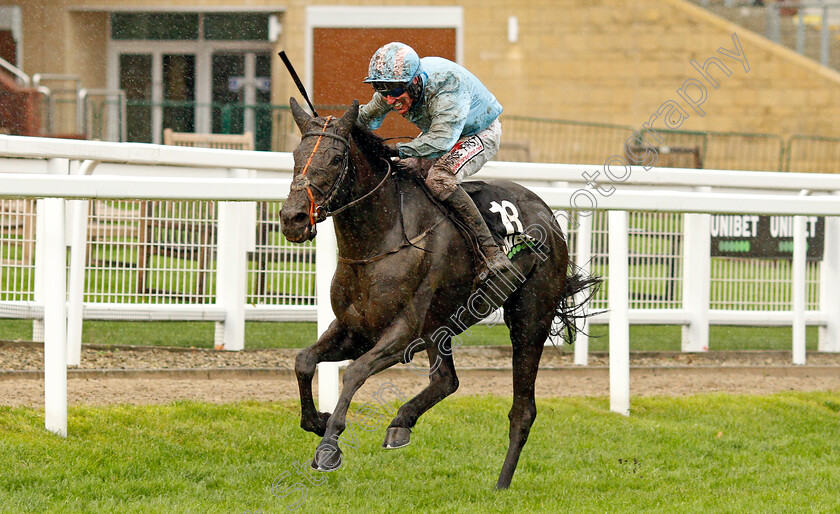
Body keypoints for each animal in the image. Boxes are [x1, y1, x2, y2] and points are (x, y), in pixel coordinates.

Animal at [280, 99, 596, 488]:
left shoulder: (404, 333)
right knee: (447, 380)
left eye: (337, 158)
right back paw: (401, 423)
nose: (292, 218)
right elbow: (304, 361)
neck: (382, 240)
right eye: (296, 154)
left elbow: (355, 373)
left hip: (529, 318)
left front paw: (328, 446)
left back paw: (501, 484)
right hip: (441, 326)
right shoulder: (355, 330)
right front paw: (318, 421)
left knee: (523, 409)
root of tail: (548, 215)